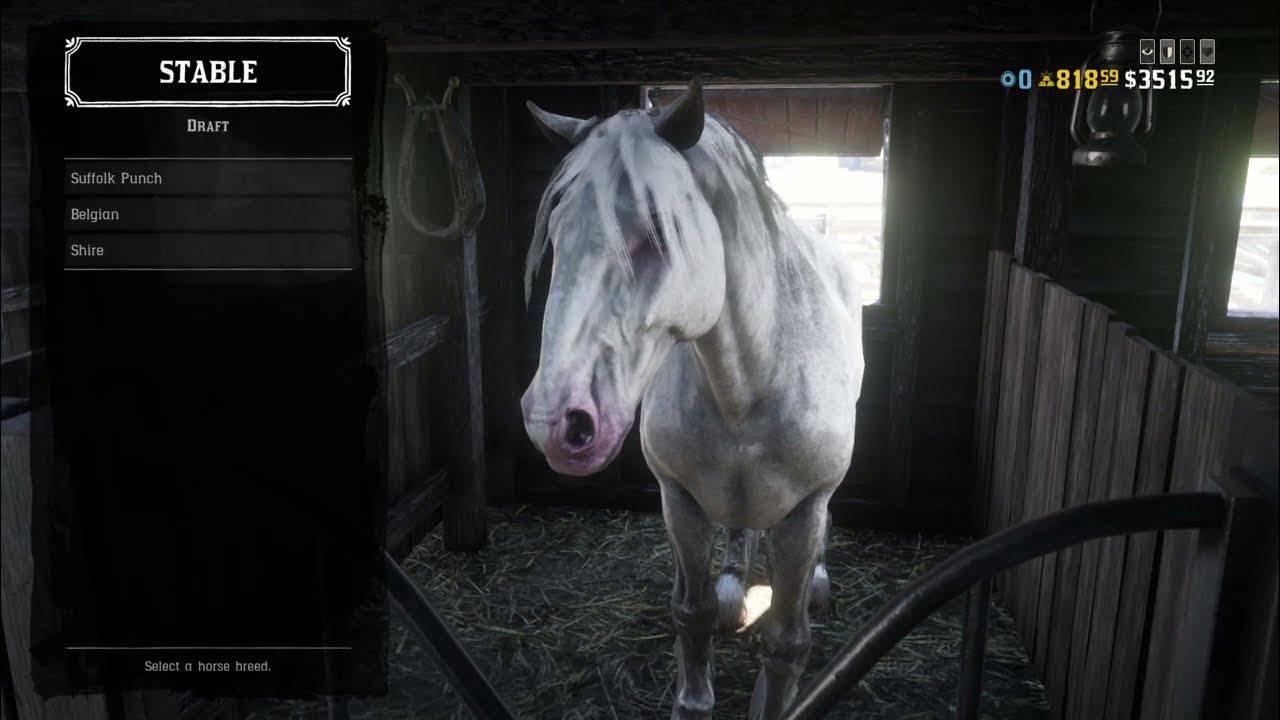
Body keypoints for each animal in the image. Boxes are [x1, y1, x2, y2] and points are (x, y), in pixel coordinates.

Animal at [519, 79, 865, 719]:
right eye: (555, 236)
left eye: (657, 231)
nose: (554, 422)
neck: (749, 384)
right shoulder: (680, 501)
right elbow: (692, 615)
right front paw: (695, 695)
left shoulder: (803, 512)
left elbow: (787, 643)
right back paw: (733, 586)